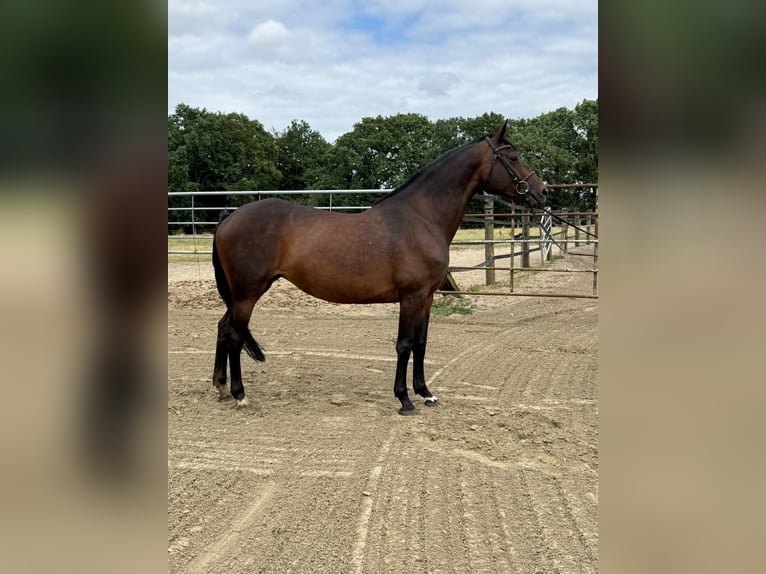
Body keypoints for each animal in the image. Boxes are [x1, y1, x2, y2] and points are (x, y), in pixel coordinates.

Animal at [211, 121, 547, 415]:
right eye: (513, 157)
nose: (542, 192)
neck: (422, 217)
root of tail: (230, 216)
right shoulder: (411, 297)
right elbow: (404, 345)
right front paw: (404, 400)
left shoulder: (427, 297)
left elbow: (421, 343)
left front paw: (425, 393)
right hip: (248, 292)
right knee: (235, 336)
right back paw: (240, 394)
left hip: (242, 294)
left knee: (224, 329)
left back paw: (221, 387)